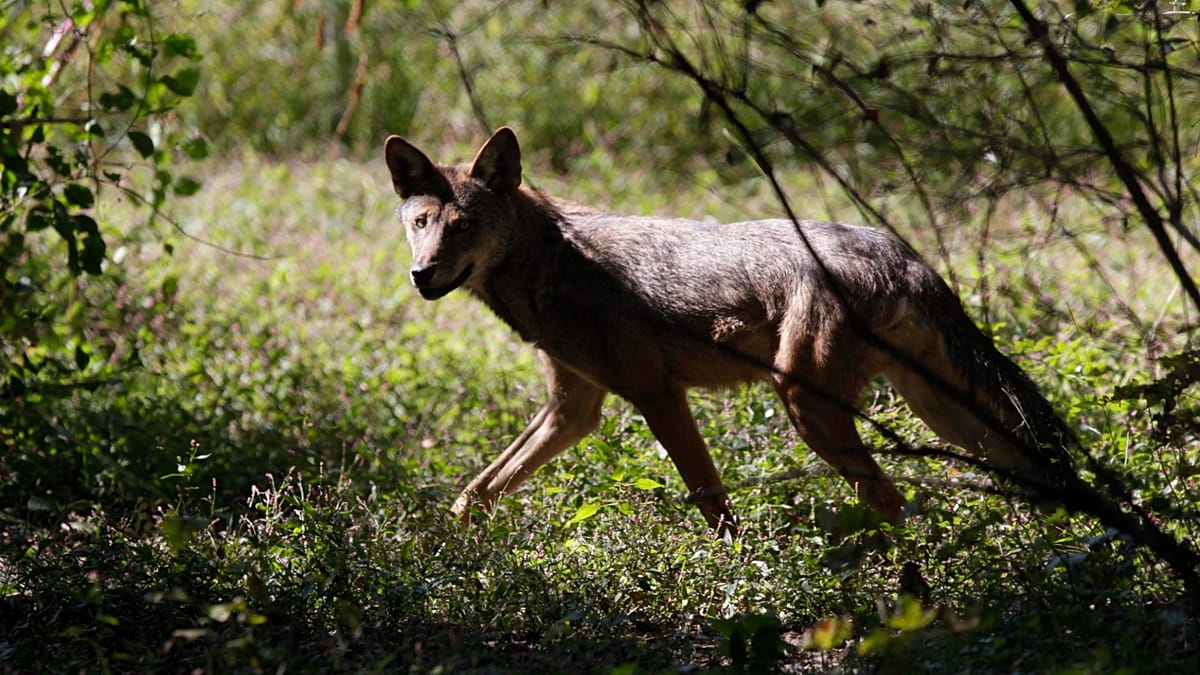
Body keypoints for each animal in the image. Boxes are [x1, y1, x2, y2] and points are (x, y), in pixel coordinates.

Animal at [383, 127, 1075, 535]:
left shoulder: (657, 396)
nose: (421, 275)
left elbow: (712, 502)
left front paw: (738, 570)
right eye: (421, 222)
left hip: (808, 409)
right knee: (1035, 474)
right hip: (941, 415)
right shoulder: (572, 408)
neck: (552, 262)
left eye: (464, 226)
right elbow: (477, 491)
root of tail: (899, 250)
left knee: (892, 500)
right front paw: (439, 548)